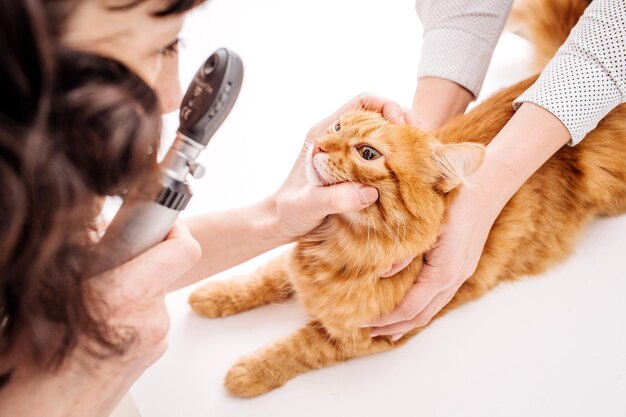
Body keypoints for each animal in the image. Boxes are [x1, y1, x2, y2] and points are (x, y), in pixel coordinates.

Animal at [188, 0, 620, 396]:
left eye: (367, 153)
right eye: (338, 126)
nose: (318, 145)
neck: (338, 247)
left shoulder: (371, 334)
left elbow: (299, 346)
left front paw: (248, 373)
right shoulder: (294, 259)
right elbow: (263, 276)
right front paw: (213, 293)